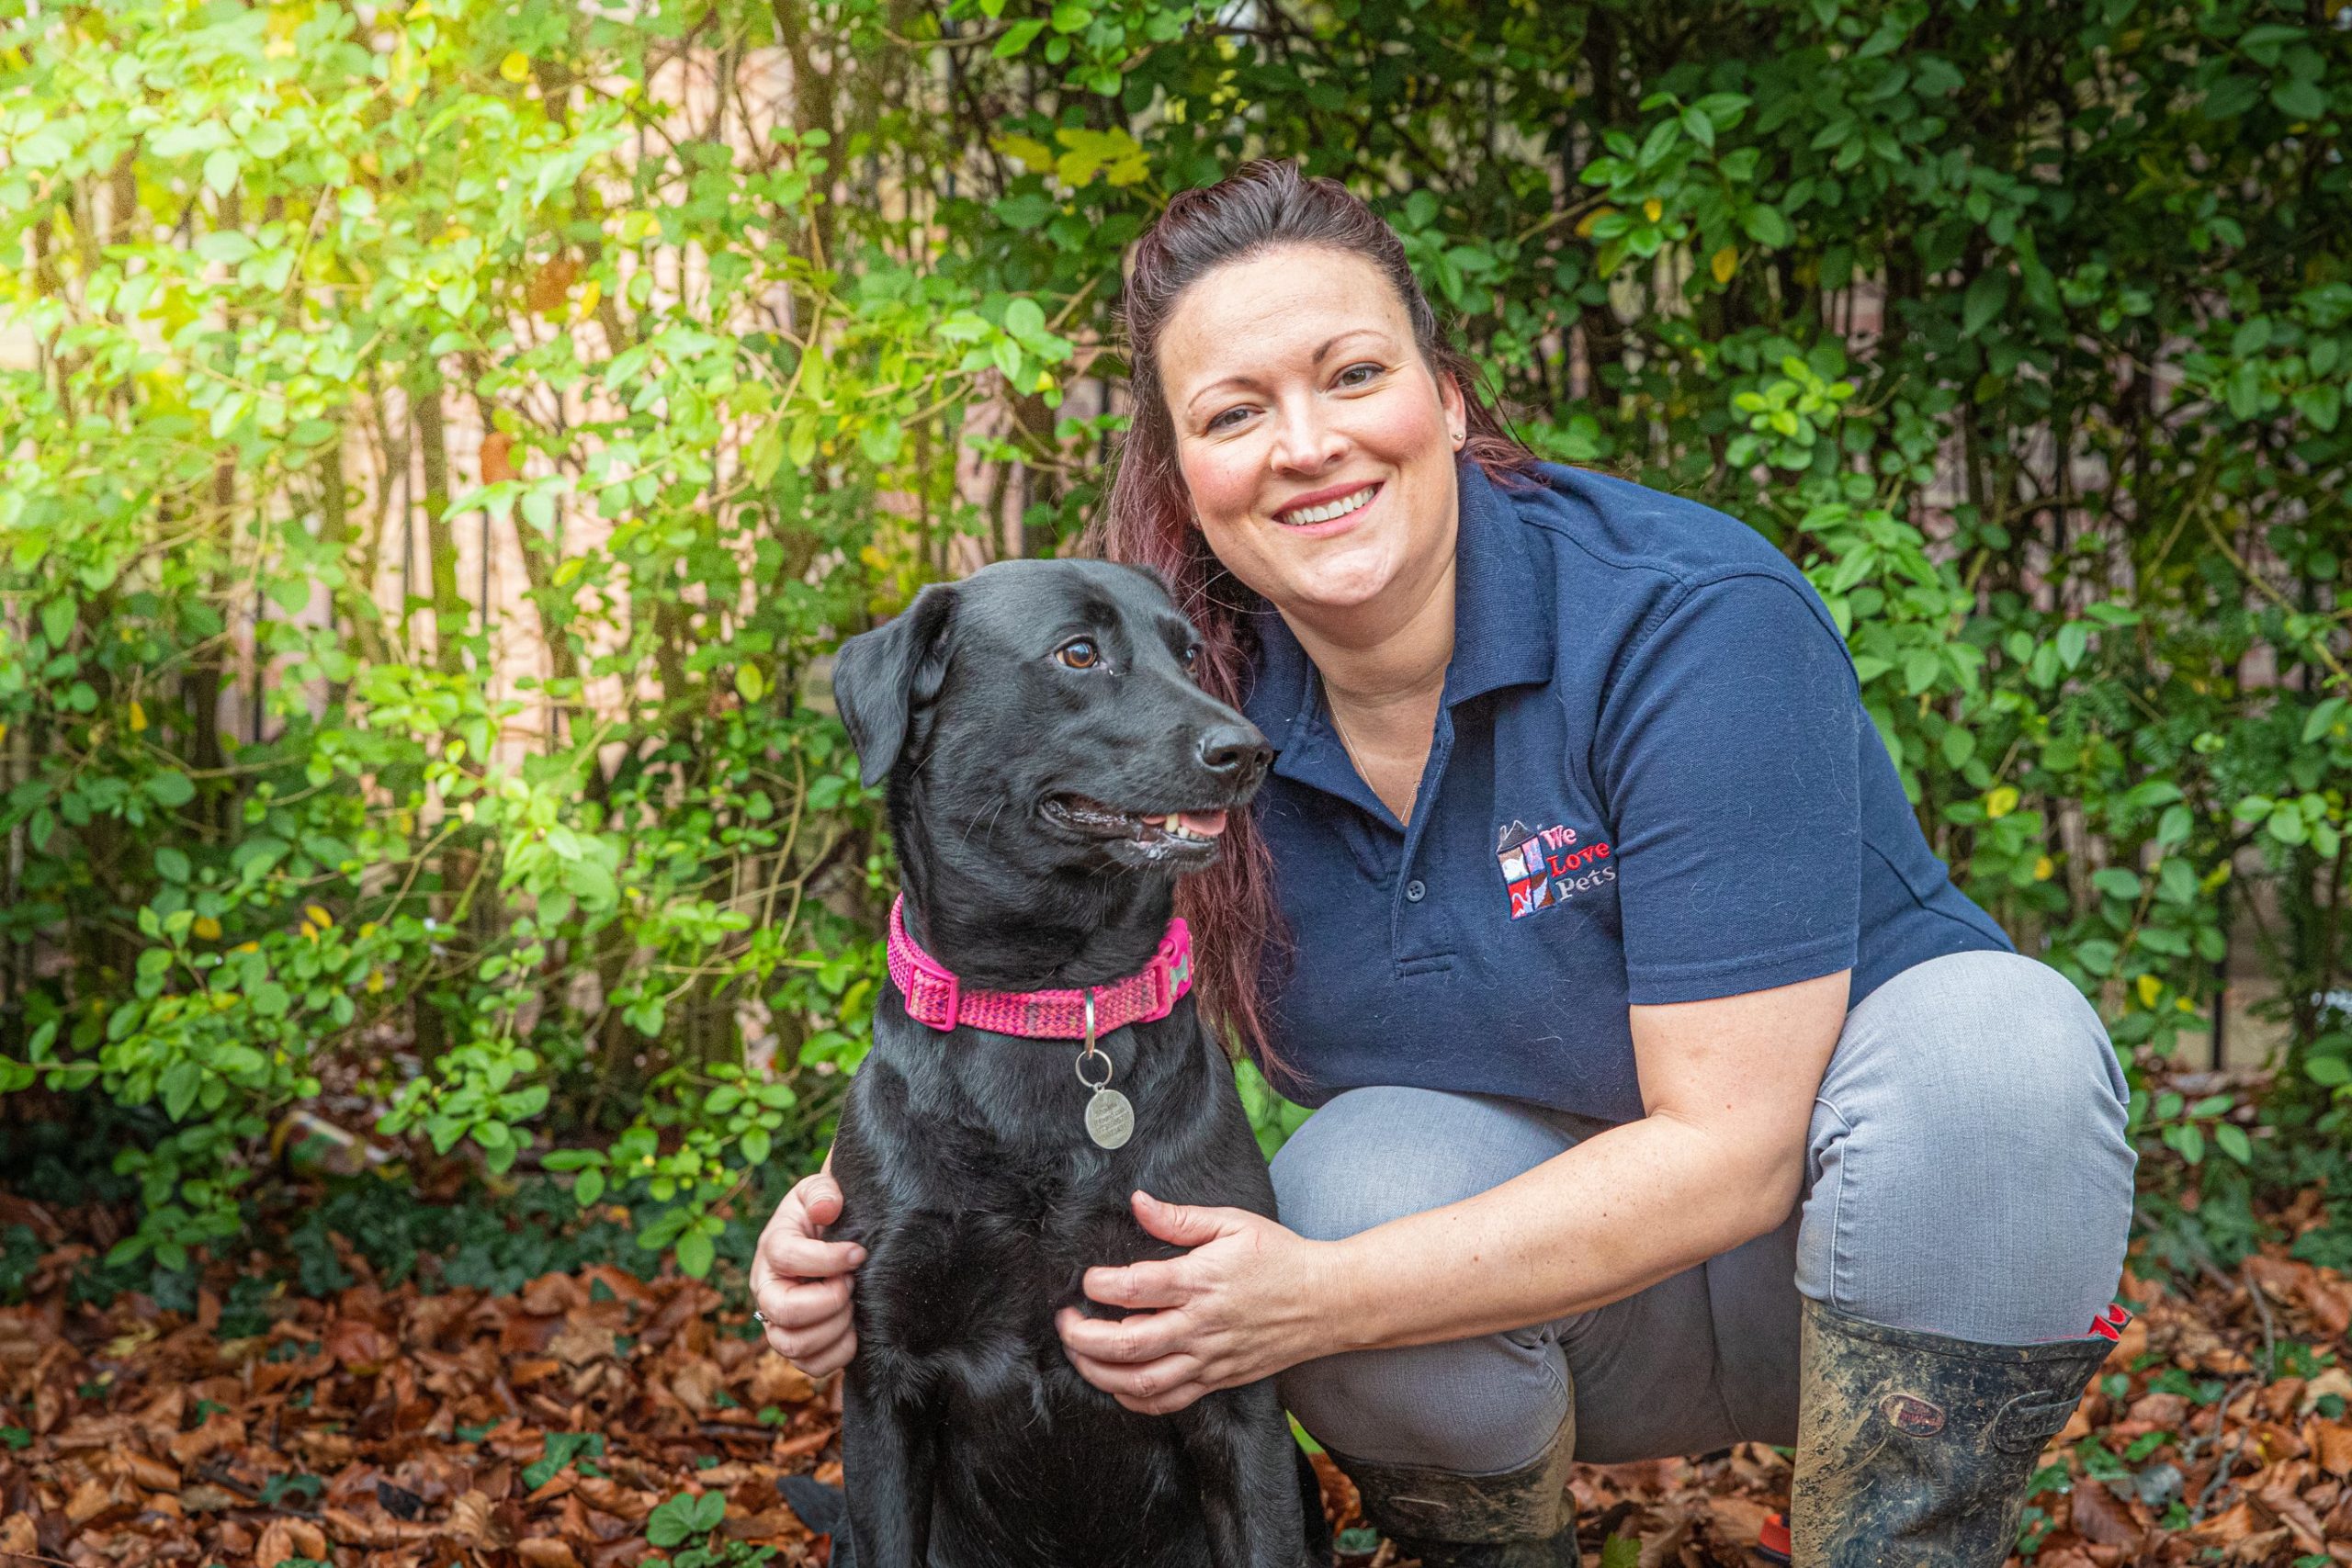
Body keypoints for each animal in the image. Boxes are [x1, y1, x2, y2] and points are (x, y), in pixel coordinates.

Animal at [818, 561, 1317, 1568]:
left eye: (1188, 652)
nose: (1248, 750)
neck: (1051, 1005)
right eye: (1078, 654)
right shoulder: (883, 1382)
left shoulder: (1232, 1380)